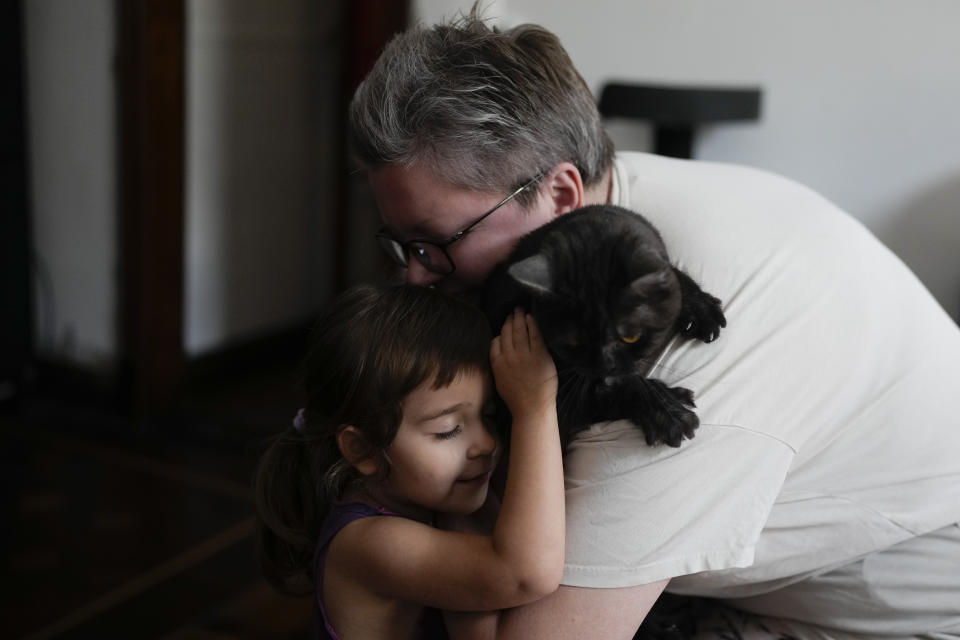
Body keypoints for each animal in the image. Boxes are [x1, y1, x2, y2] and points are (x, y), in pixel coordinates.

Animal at [484, 202, 724, 448]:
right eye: (573, 344)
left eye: (631, 336)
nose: (606, 366)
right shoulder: (566, 397)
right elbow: (623, 388)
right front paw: (668, 413)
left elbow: (673, 275)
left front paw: (702, 310)